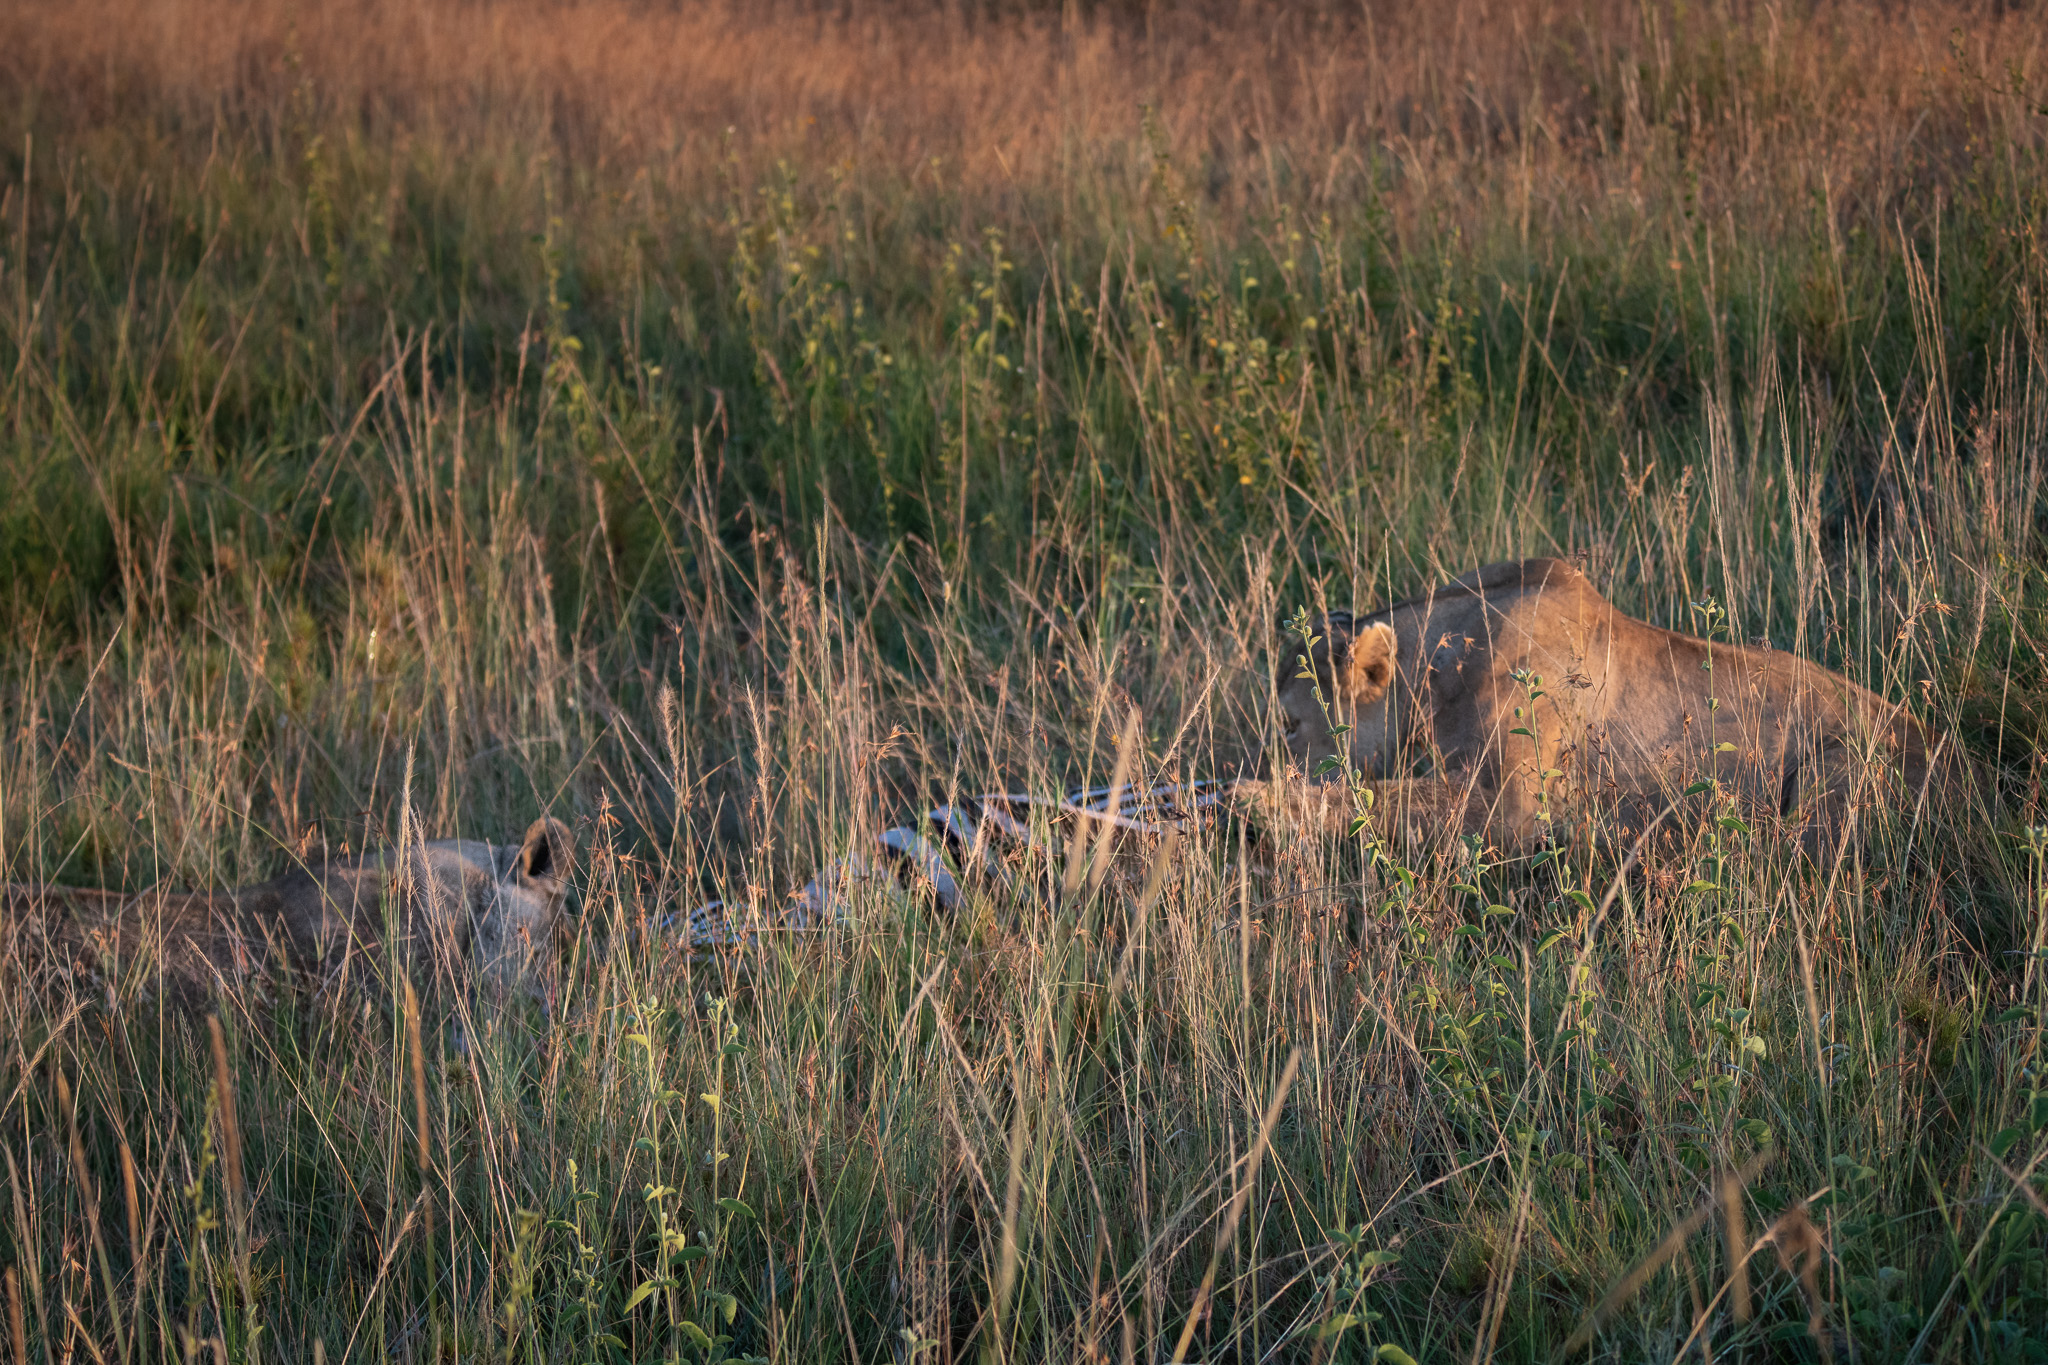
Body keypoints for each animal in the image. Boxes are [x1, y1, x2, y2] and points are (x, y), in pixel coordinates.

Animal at [1269, 556, 1957, 855]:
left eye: (1289, 724)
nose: (1270, 757)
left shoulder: (1520, 809)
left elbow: (1371, 801)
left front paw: (1257, 804)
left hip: (1834, 771)